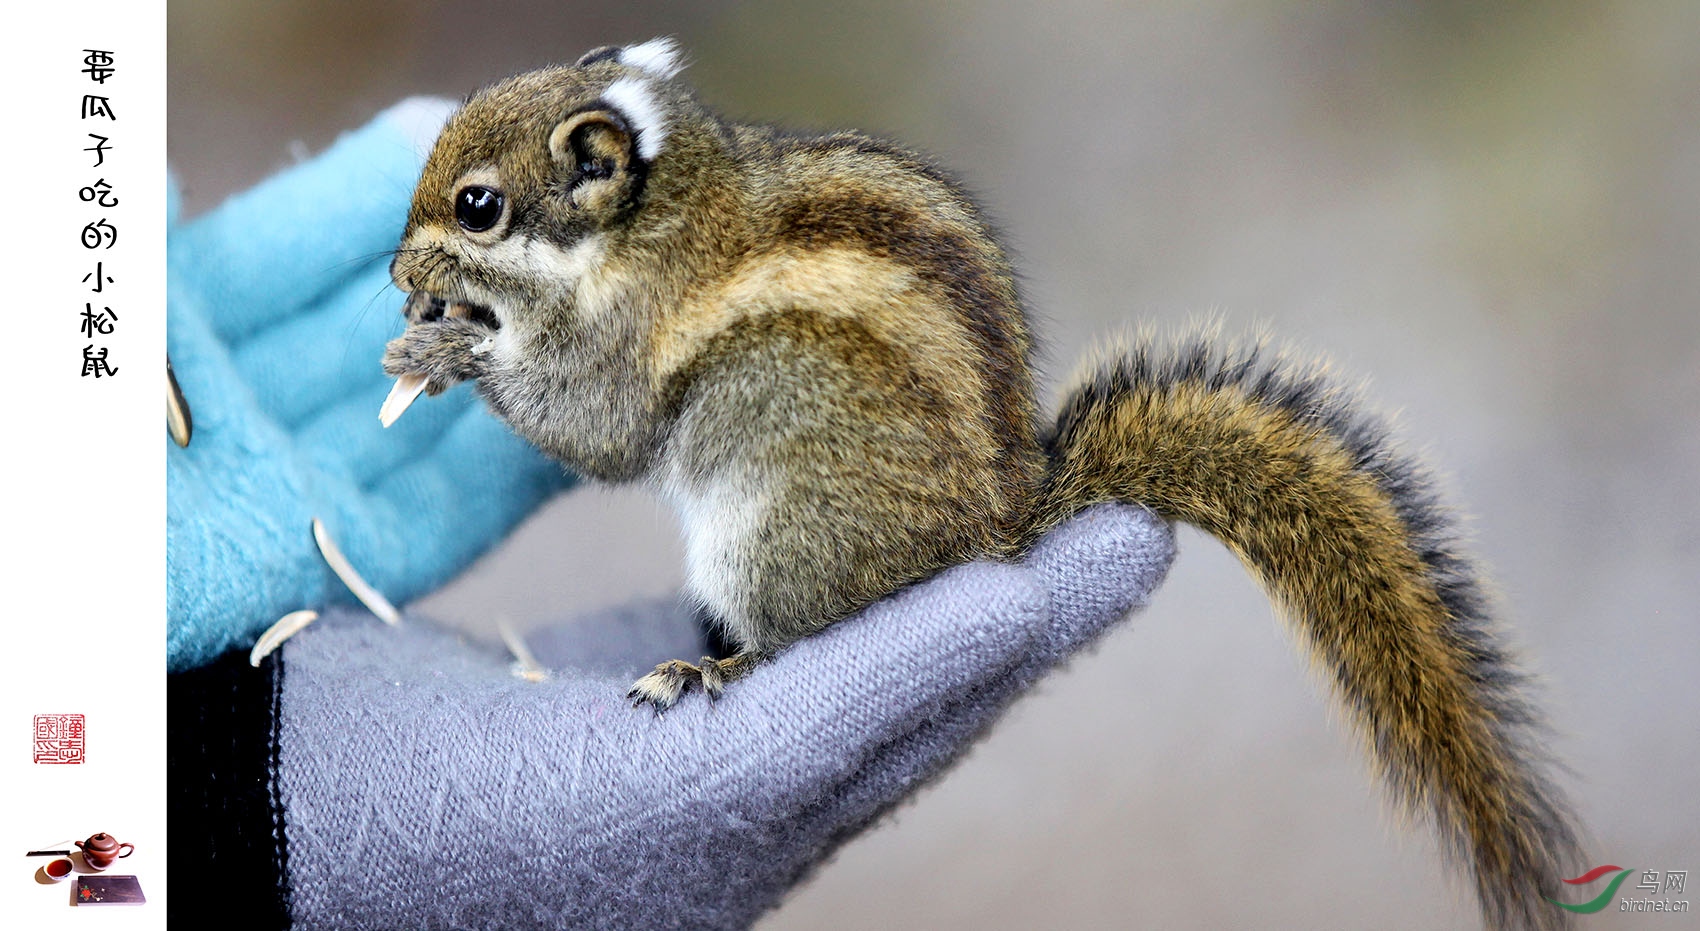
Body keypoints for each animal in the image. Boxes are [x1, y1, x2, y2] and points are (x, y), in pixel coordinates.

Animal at [382, 38, 1577, 931]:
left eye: (480, 205)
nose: (396, 273)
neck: (650, 219)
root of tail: (1001, 518)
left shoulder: (627, 344)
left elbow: (600, 431)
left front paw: (452, 349)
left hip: (768, 530)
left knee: (791, 633)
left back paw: (708, 667)